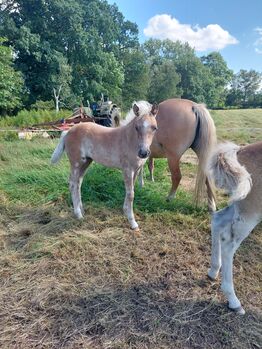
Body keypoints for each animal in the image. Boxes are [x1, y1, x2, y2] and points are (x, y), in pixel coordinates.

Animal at [51, 100, 158, 230]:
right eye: (136, 127)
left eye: (154, 128)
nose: (143, 153)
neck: (129, 140)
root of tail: (68, 131)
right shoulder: (127, 170)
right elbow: (130, 194)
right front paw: (133, 223)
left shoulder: (136, 170)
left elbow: (131, 190)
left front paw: (125, 211)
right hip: (76, 163)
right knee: (72, 184)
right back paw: (78, 214)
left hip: (85, 162)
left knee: (78, 183)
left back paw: (82, 210)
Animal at [207, 140, 262, 314]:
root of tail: (239, 150)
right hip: (251, 210)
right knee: (229, 244)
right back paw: (233, 300)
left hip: (240, 202)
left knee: (217, 219)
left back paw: (213, 271)